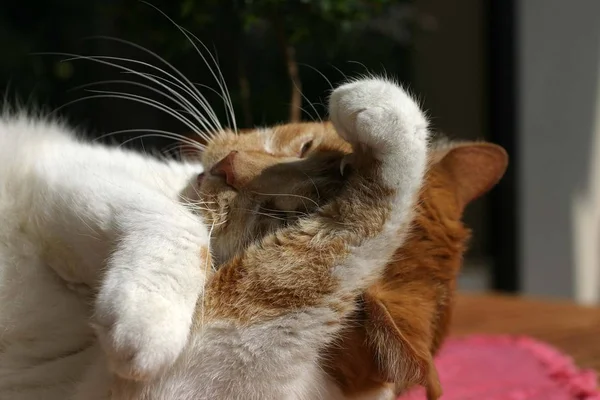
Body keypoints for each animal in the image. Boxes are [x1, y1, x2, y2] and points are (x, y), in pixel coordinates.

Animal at [0, 76, 432, 398]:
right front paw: (151, 311)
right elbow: (183, 227)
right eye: (304, 146)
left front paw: (143, 325)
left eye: (283, 214)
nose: (229, 167)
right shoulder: (66, 170)